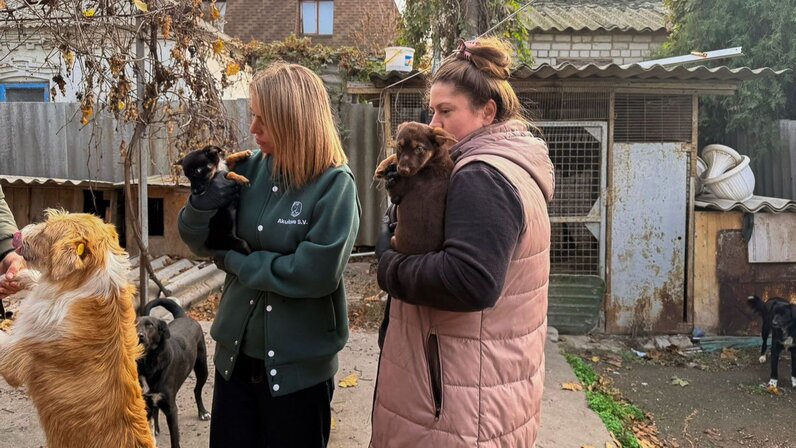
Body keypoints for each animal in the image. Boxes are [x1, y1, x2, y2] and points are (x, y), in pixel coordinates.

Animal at [137, 298, 211, 448]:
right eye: (134, 325)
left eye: (150, 325)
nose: (139, 336)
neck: (149, 364)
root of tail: (183, 316)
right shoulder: (146, 403)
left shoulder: (171, 409)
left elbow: (175, 440)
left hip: (202, 368)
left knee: (197, 390)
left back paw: (202, 412)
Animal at [374, 122, 457, 254]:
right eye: (399, 146)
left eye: (419, 149)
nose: (403, 171)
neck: (435, 159)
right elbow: (396, 156)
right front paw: (383, 167)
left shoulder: (396, 192)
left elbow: (395, 159)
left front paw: (382, 167)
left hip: (393, 239)